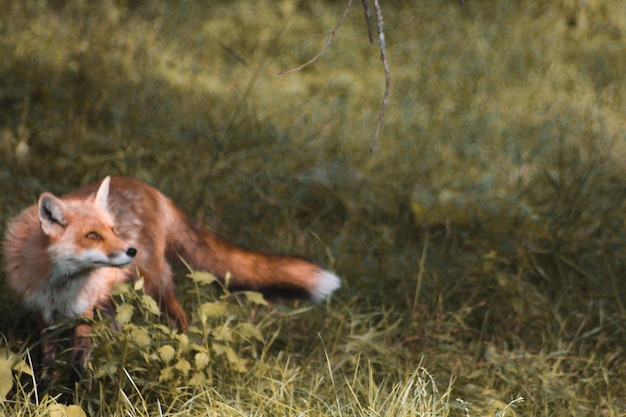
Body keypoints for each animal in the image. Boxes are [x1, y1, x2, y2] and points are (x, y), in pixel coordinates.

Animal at [2, 176, 338, 374]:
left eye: (112, 230)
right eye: (93, 236)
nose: (130, 250)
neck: (60, 287)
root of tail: (150, 189)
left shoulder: (83, 315)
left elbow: (77, 366)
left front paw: (76, 396)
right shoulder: (43, 314)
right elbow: (47, 366)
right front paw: (48, 393)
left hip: (155, 287)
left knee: (183, 323)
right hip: (115, 301)